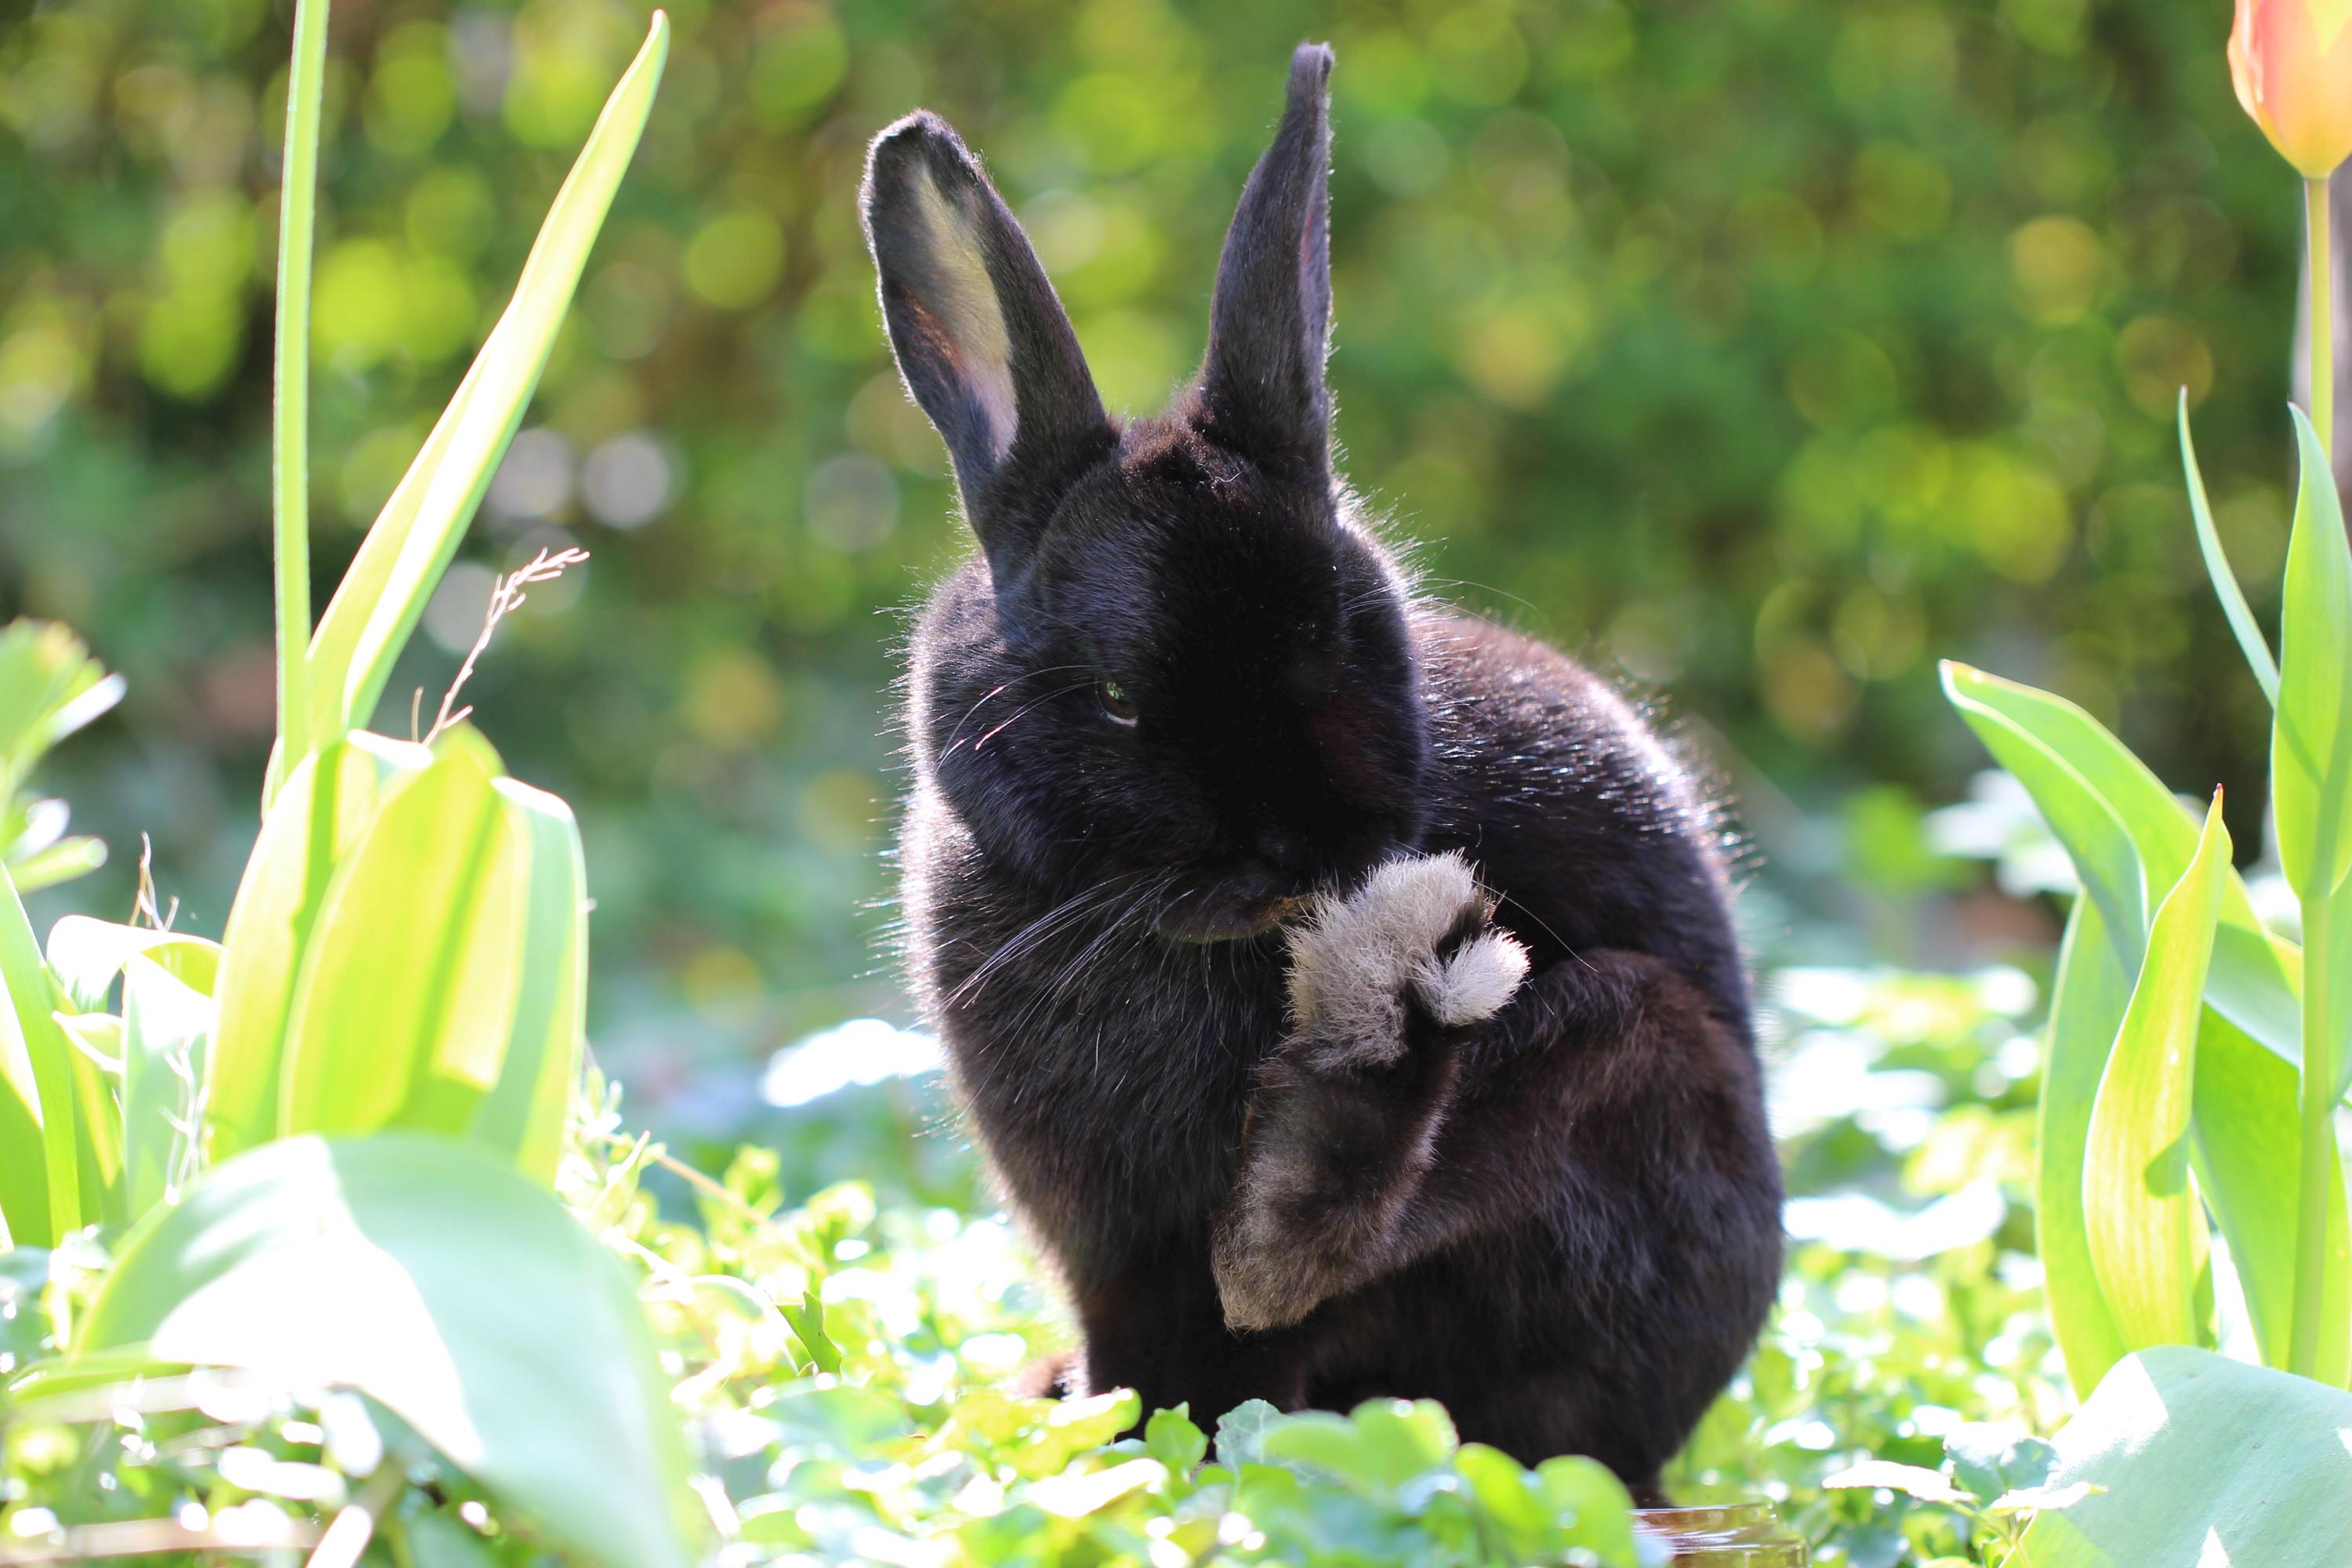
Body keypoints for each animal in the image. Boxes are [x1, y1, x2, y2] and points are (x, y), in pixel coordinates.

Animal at [861, 42, 1782, 1501]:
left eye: (1346, 645)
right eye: (1118, 700)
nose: (1296, 851)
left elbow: (1255, 1332)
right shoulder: (1106, 1255)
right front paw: (1106, 1434)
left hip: (1645, 1056)